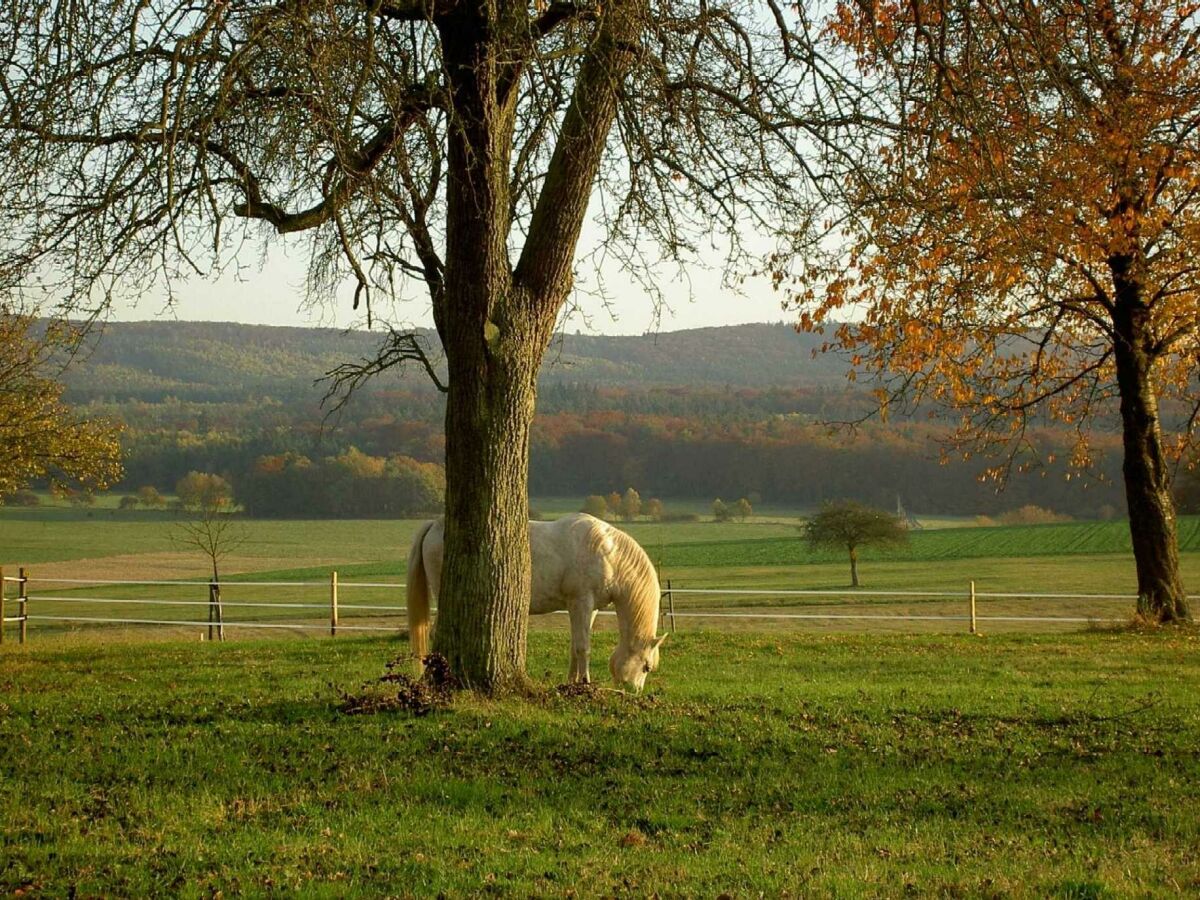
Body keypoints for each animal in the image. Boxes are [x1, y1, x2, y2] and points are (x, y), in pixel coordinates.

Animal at [403, 513, 667, 691]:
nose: (634, 691)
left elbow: (575, 646)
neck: (607, 554)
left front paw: (571, 683)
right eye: (646, 666)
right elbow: (584, 647)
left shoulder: (587, 609)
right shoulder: (580, 602)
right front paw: (585, 684)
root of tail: (434, 525)